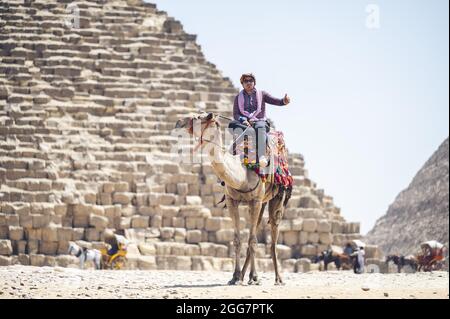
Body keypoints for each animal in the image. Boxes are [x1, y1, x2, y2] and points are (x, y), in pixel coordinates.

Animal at [174, 114, 294, 286]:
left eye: (198, 117)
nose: (179, 122)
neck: (243, 174)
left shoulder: (255, 201)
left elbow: (253, 241)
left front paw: (255, 277)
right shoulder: (232, 201)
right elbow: (238, 240)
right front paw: (235, 276)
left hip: (278, 196)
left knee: (273, 234)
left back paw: (278, 278)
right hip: (262, 202)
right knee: (257, 228)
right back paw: (244, 275)